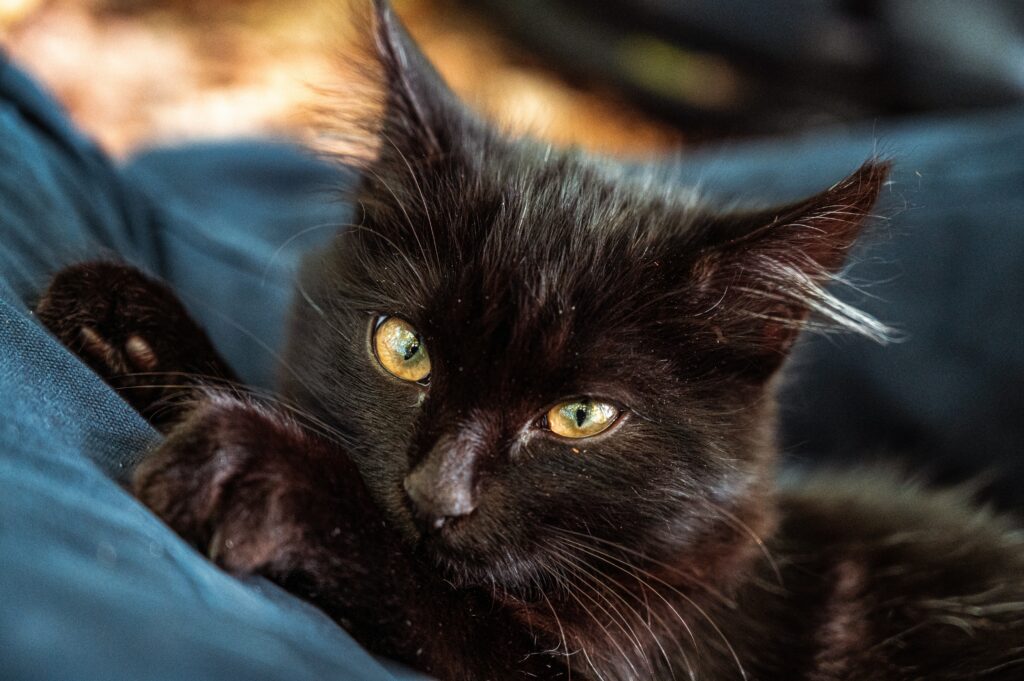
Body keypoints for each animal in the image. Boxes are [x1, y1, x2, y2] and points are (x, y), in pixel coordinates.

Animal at [39, 1, 1024, 679]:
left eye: (580, 416)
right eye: (404, 349)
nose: (436, 493)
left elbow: (428, 592)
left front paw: (258, 469)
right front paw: (135, 327)